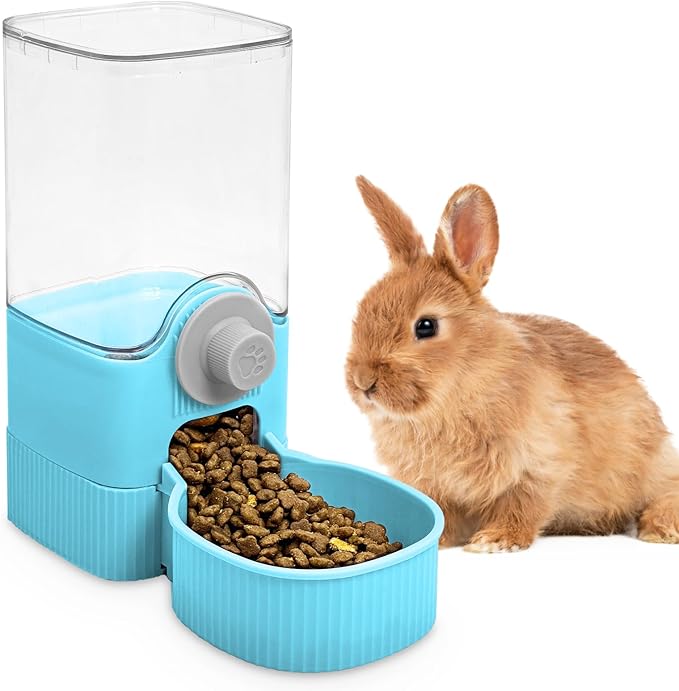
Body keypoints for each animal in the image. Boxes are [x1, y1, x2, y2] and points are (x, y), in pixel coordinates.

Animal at [345, 176, 679, 552]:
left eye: (426, 326)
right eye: (362, 311)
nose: (363, 381)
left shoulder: (537, 466)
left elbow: (522, 506)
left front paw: (494, 541)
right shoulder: (433, 484)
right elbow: (444, 512)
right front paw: (442, 540)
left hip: (652, 464)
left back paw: (660, 530)